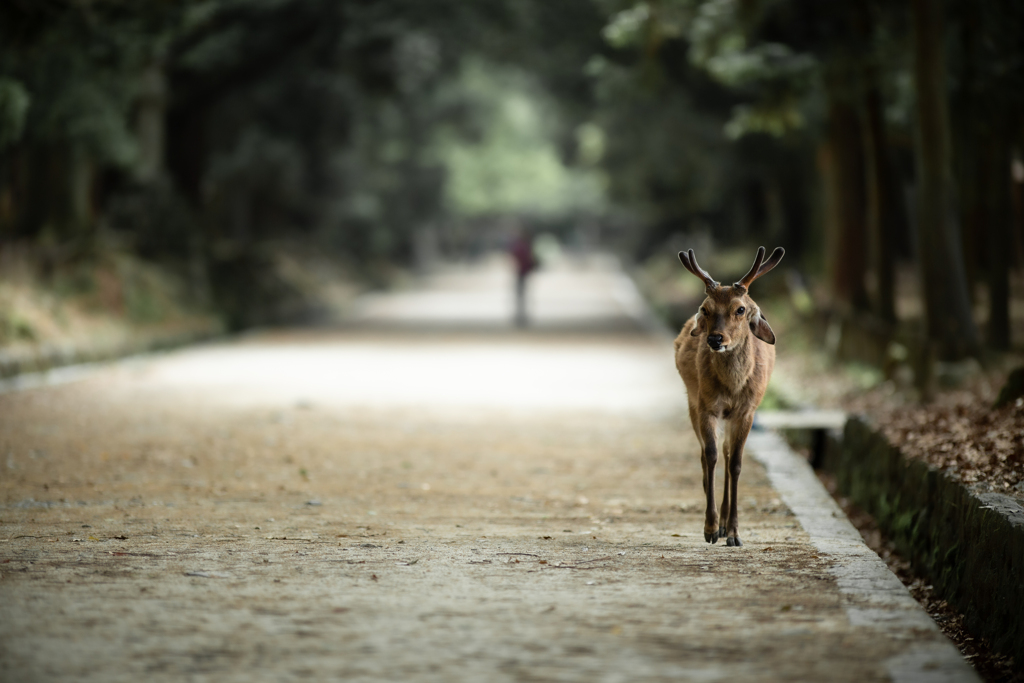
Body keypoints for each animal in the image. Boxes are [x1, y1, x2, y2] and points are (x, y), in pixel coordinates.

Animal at [671, 248, 782, 548]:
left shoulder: (747, 411)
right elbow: (710, 456)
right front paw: (709, 528)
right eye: (706, 309)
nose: (715, 339)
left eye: (740, 309)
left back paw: (724, 523)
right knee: (706, 453)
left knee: (727, 451)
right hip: (692, 402)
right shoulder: (706, 406)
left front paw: (733, 532)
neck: (732, 388)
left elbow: (736, 463)